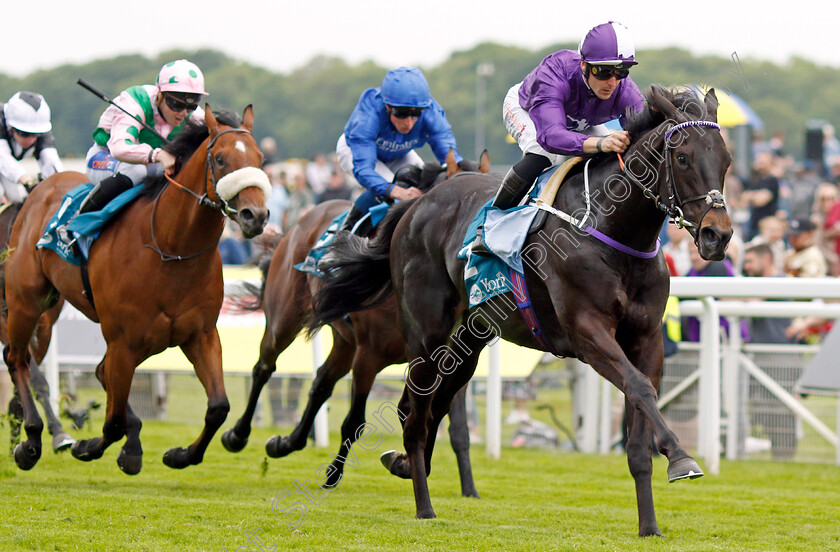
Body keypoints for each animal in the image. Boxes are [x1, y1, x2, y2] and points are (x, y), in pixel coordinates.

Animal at [0, 106, 270, 474]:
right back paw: (30, 441)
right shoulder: (124, 341)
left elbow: (218, 407)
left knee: (92, 370)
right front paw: (86, 446)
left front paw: (179, 454)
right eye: (220, 158)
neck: (171, 249)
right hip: (27, 302)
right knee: (18, 360)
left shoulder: (200, 334)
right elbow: (112, 422)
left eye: (260, 159)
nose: (255, 215)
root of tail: (40, 188)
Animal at [312, 86, 732, 536]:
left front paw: (650, 525)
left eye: (726, 160)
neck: (613, 230)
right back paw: (423, 505)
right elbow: (639, 388)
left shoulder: (647, 338)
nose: (718, 235)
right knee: (415, 417)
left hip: (470, 339)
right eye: (683, 157)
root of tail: (417, 204)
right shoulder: (588, 333)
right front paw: (682, 458)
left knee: (433, 404)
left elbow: (640, 421)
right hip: (425, 334)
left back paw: (406, 464)